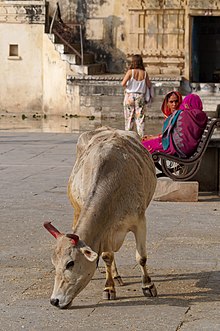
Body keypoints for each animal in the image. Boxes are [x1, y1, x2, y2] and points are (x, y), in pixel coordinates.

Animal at [43, 126, 157, 308]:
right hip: (77, 210)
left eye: (70, 263)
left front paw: (148, 285)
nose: (55, 300)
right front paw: (108, 288)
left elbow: (141, 257)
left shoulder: (139, 221)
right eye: (54, 262)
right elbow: (107, 257)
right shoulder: (105, 231)